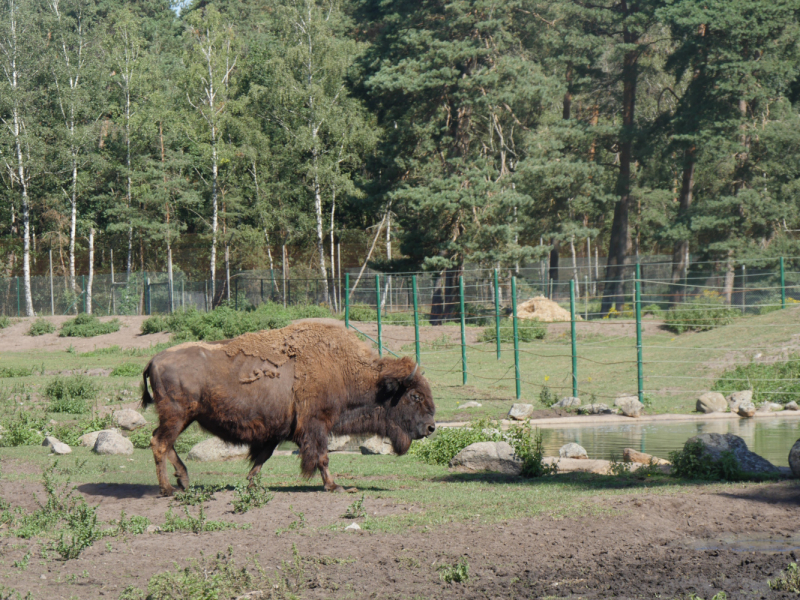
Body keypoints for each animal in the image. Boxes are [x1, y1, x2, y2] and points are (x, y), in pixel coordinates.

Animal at [139, 322, 438, 494]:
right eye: (415, 396)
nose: (431, 427)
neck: (343, 370)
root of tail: (154, 359)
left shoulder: (279, 430)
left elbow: (262, 457)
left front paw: (251, 484)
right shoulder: (317, 424)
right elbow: (322, 457)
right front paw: (334, 486)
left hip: (183, 417)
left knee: (163, 442)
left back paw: (183, 481)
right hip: (177, 415)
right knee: (160, 443)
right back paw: (168, 489)